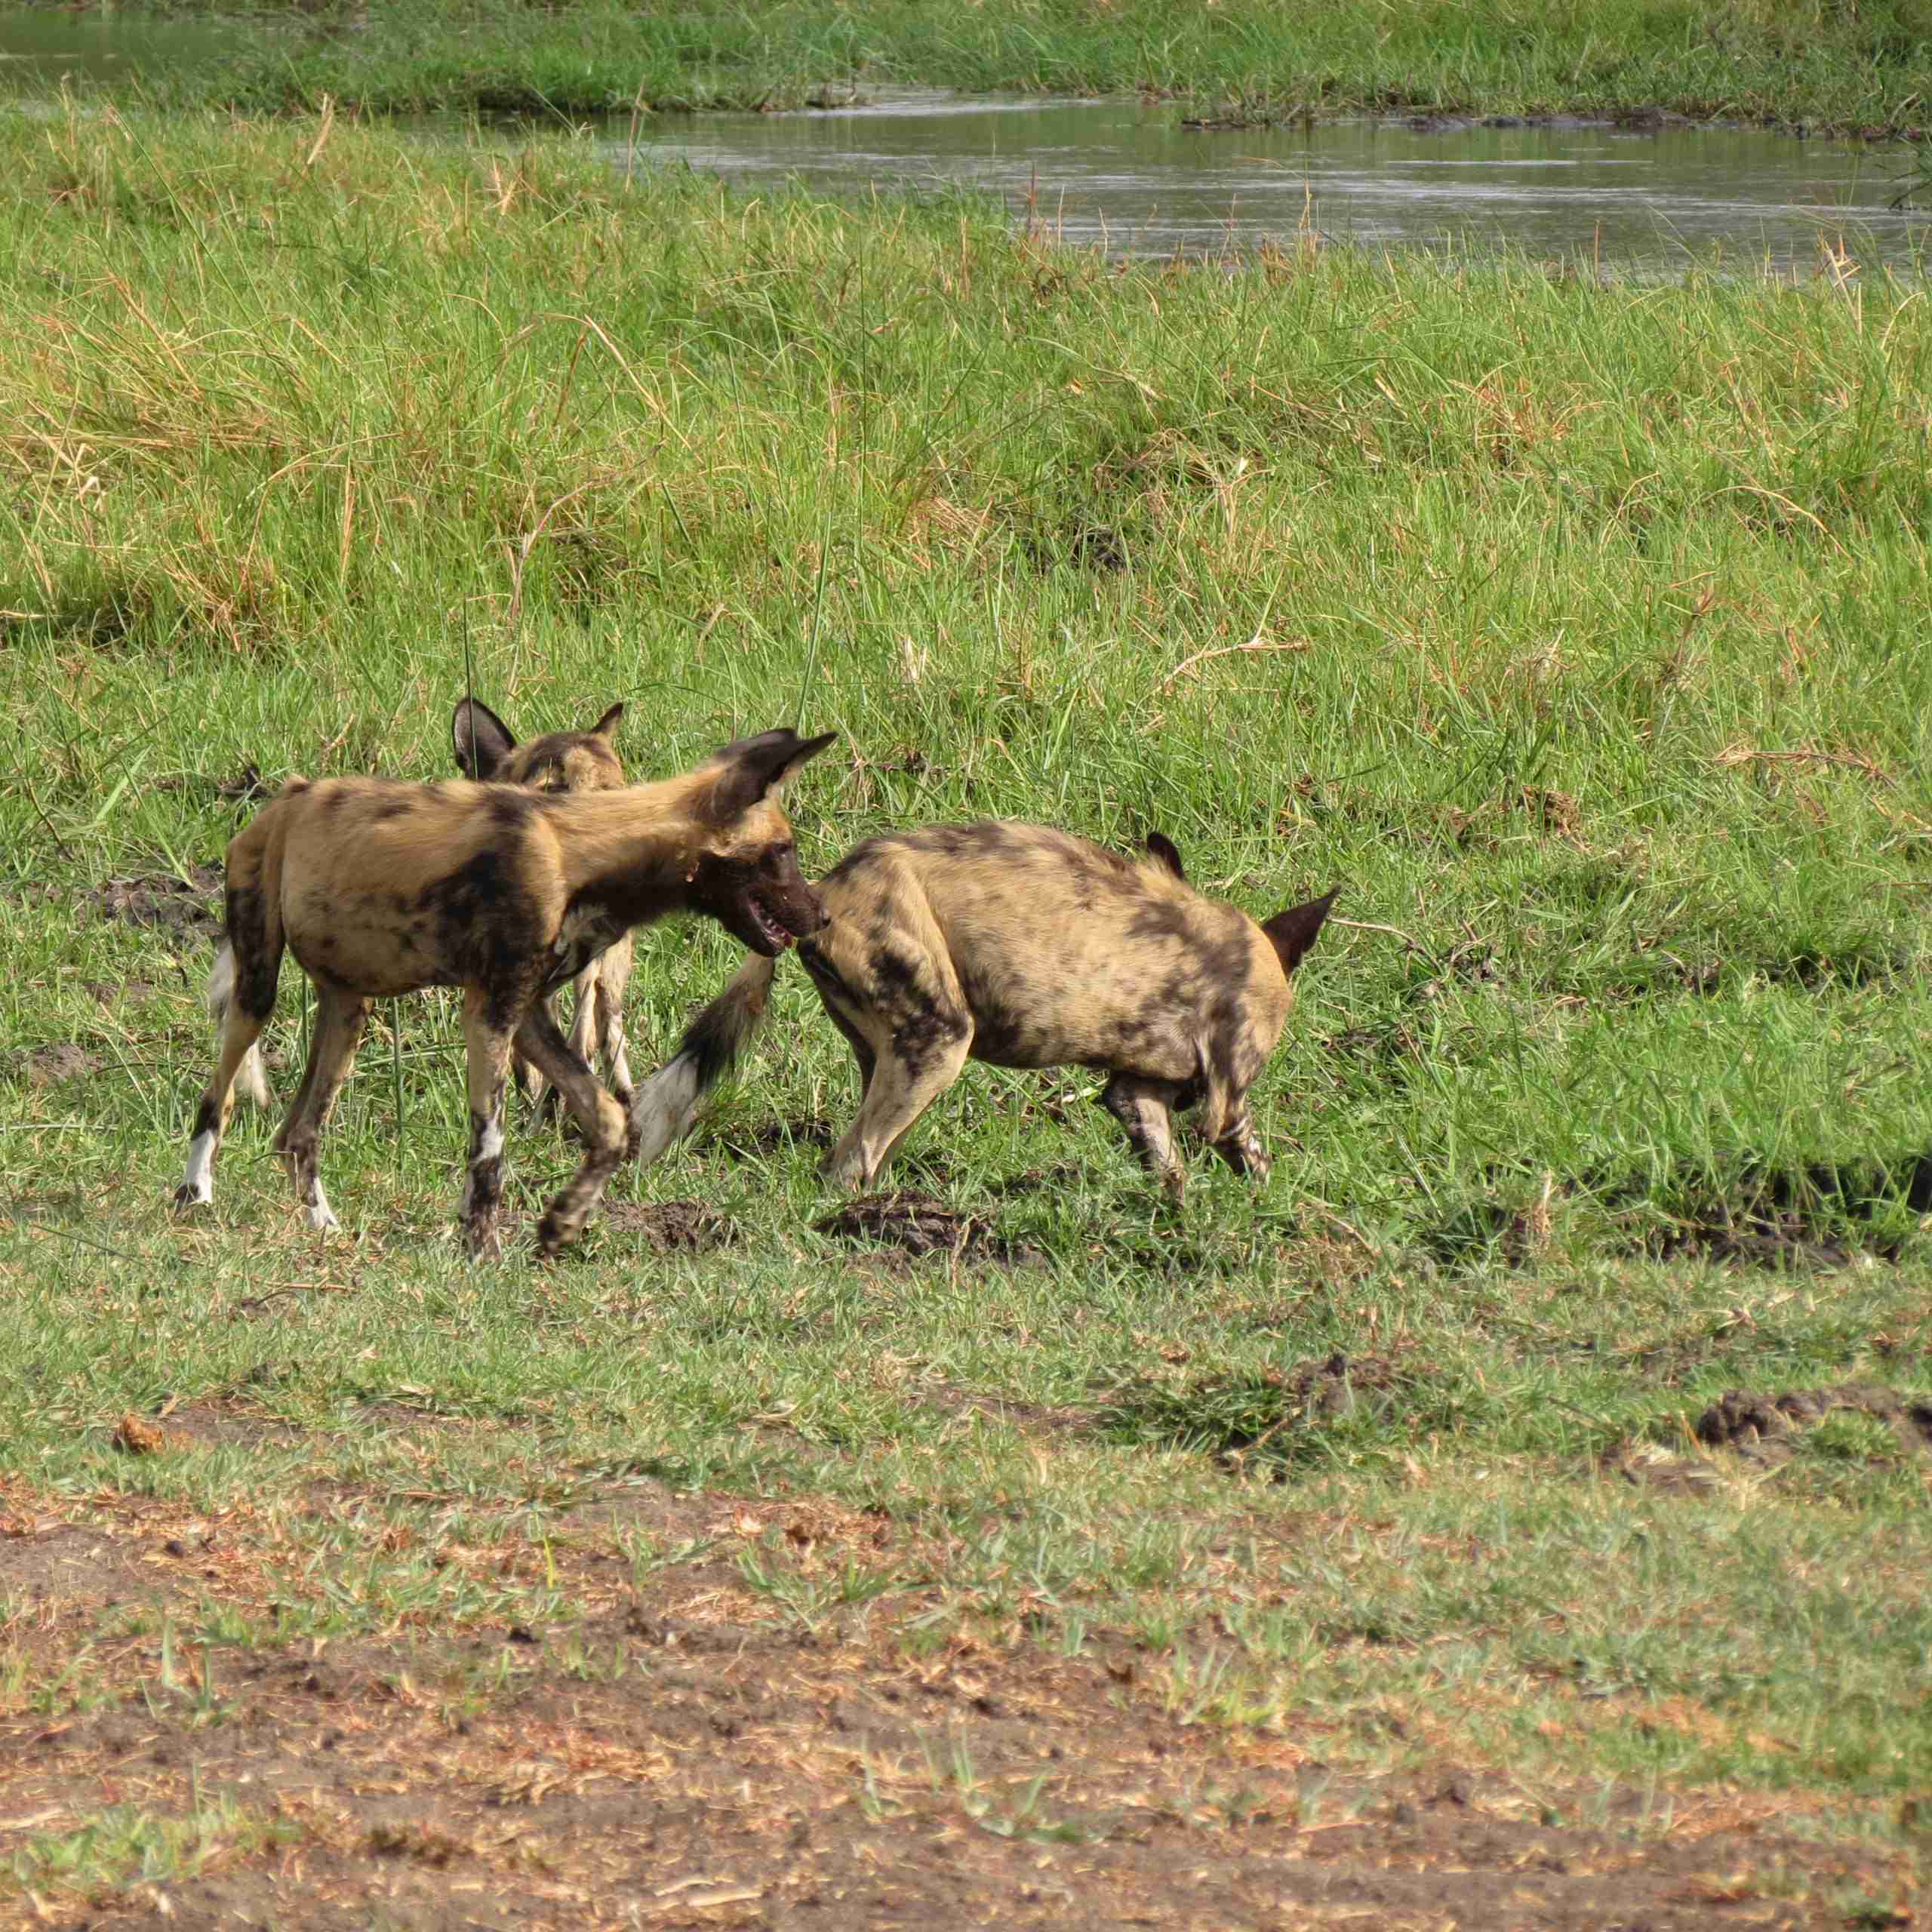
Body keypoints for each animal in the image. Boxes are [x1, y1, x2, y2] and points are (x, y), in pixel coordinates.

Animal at [629, 823, 1329, 1198]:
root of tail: (823, 892)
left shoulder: (1135, 1093)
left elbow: (1168, 1168)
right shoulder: (1226, 1100)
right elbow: (1251, 1155)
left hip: (894, 1058)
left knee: (861, 1151)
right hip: (940, 1041)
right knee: (845, 1164)